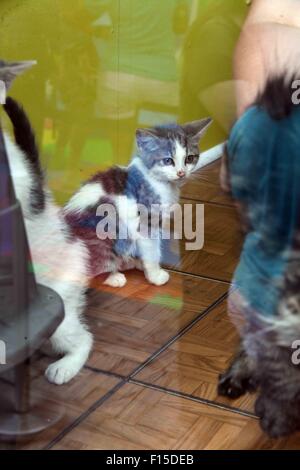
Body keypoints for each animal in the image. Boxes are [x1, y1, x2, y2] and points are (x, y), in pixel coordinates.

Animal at [0, 61, 211, 386]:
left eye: (189, 158)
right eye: (166, 160)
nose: (180, 173)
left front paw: (146, 267)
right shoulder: (142, 220)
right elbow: (150, 247)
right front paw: (155, 274)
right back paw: (113, 276)